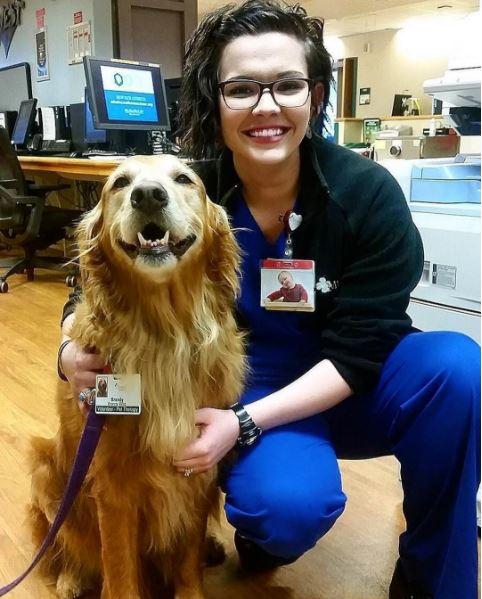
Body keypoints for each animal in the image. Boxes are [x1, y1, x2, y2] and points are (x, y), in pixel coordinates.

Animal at [27, 156, 245, 599]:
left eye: (184, 178)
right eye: (119, 183)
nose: (147, 195)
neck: (163, 332)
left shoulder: (196, 472)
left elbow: (186, 561)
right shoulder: (113, 487)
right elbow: (119, 568)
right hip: (45, 472)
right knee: (64, 542)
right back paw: (71, 577)